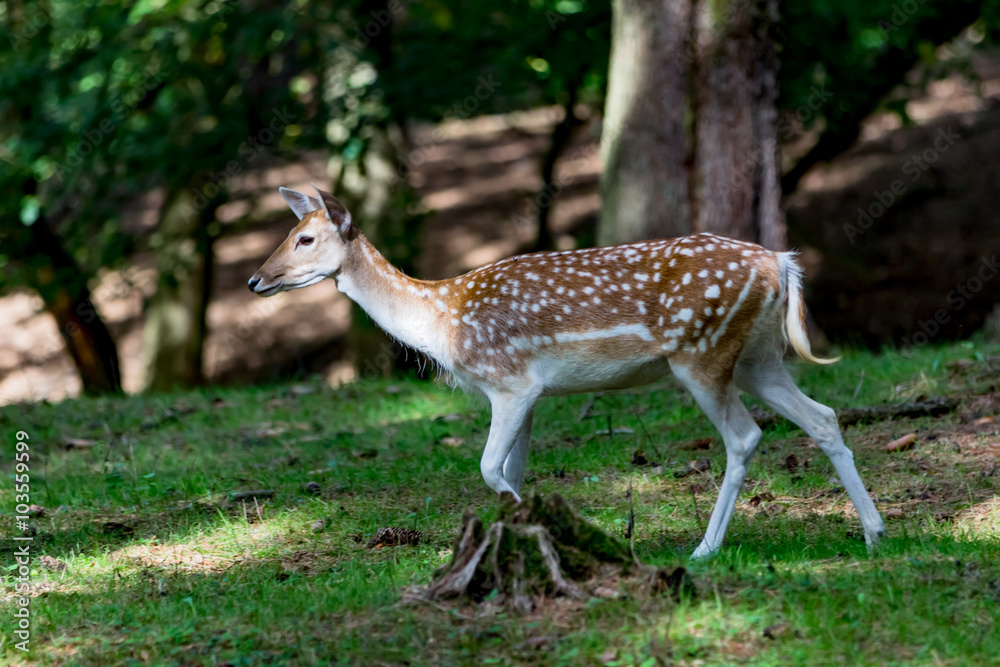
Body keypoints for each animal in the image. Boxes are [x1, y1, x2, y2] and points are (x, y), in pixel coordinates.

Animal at [249, 185, 886, 558]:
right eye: (288, 233)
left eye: (306, 238)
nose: (256, 280)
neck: (441, 320)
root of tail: (782, 263)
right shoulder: (525, 392)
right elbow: (514, 470)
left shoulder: (511, 381)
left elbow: (488, 468)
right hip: (757, 357)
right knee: (823, 417)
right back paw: (875, 533)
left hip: (701, 353)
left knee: (745, 436)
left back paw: (705, 550)